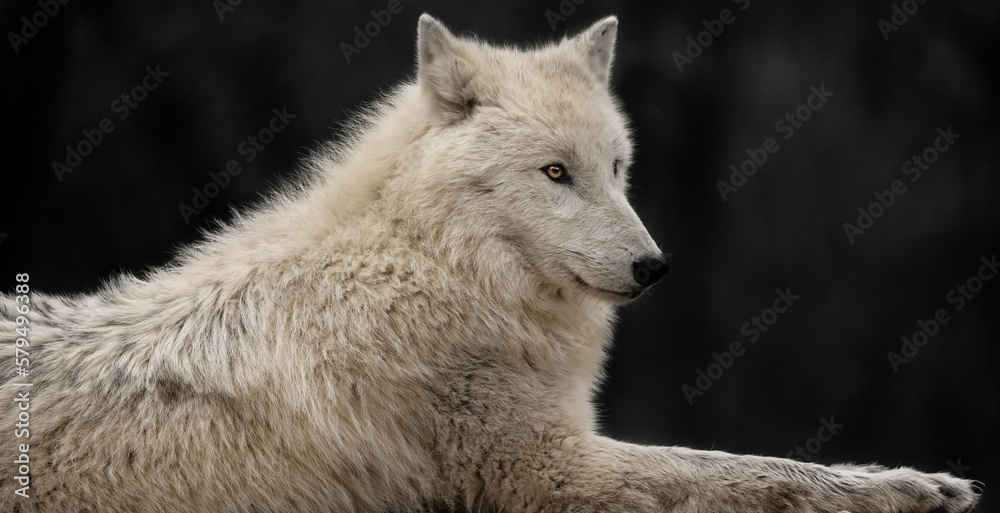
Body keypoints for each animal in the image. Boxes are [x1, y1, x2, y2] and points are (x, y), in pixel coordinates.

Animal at [0, 14, 982, 513]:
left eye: (616, 169)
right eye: (554, 173)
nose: (653, 266)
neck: (433, 270)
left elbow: (739, 464)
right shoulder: (545, 469)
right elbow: (742, 470)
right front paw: (906, 486)